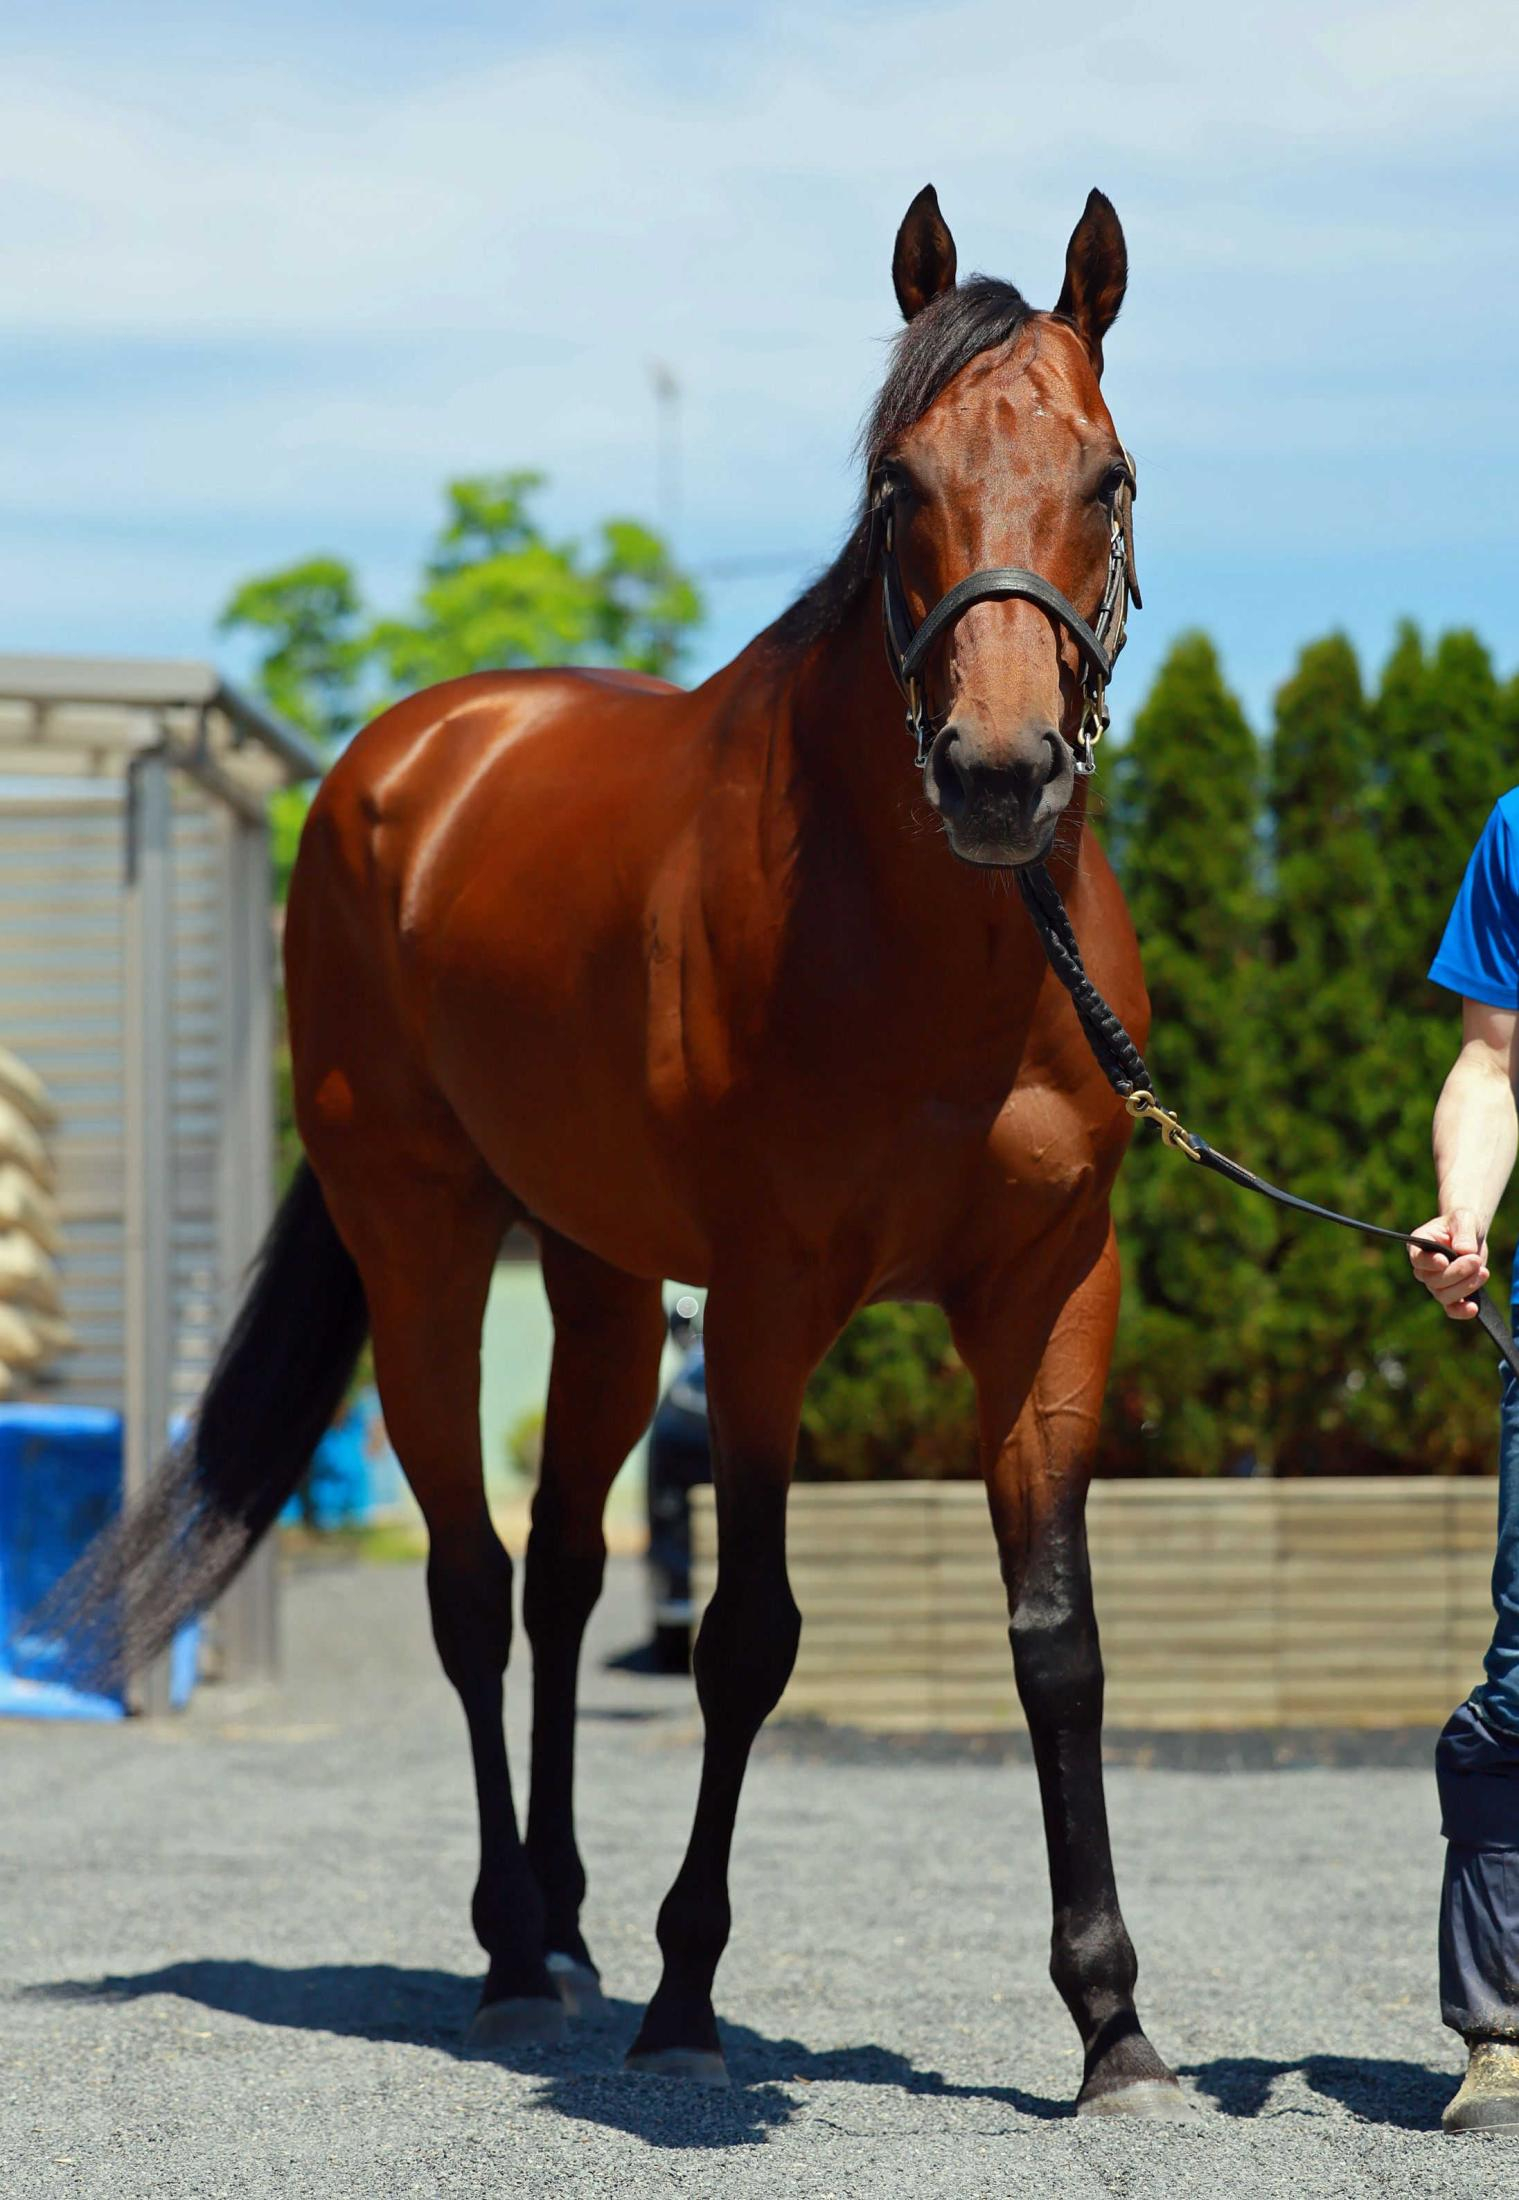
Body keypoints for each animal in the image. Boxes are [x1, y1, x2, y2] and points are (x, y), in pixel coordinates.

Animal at [47, 183, 1186, 2117]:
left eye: (1102, 476)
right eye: (897, 481)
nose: (996, 775)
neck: (937, 951)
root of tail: (399, 764)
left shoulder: (1047, 1296)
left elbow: (1059, 1643)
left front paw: (1110, 2025)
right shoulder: (769, 1308)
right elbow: (743, 1641)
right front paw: (686, 1993)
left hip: (593, 1280)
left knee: (570, 1576)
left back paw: (569, 1925)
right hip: (427, 1253)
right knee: (470, 1583)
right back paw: (518, 1954)